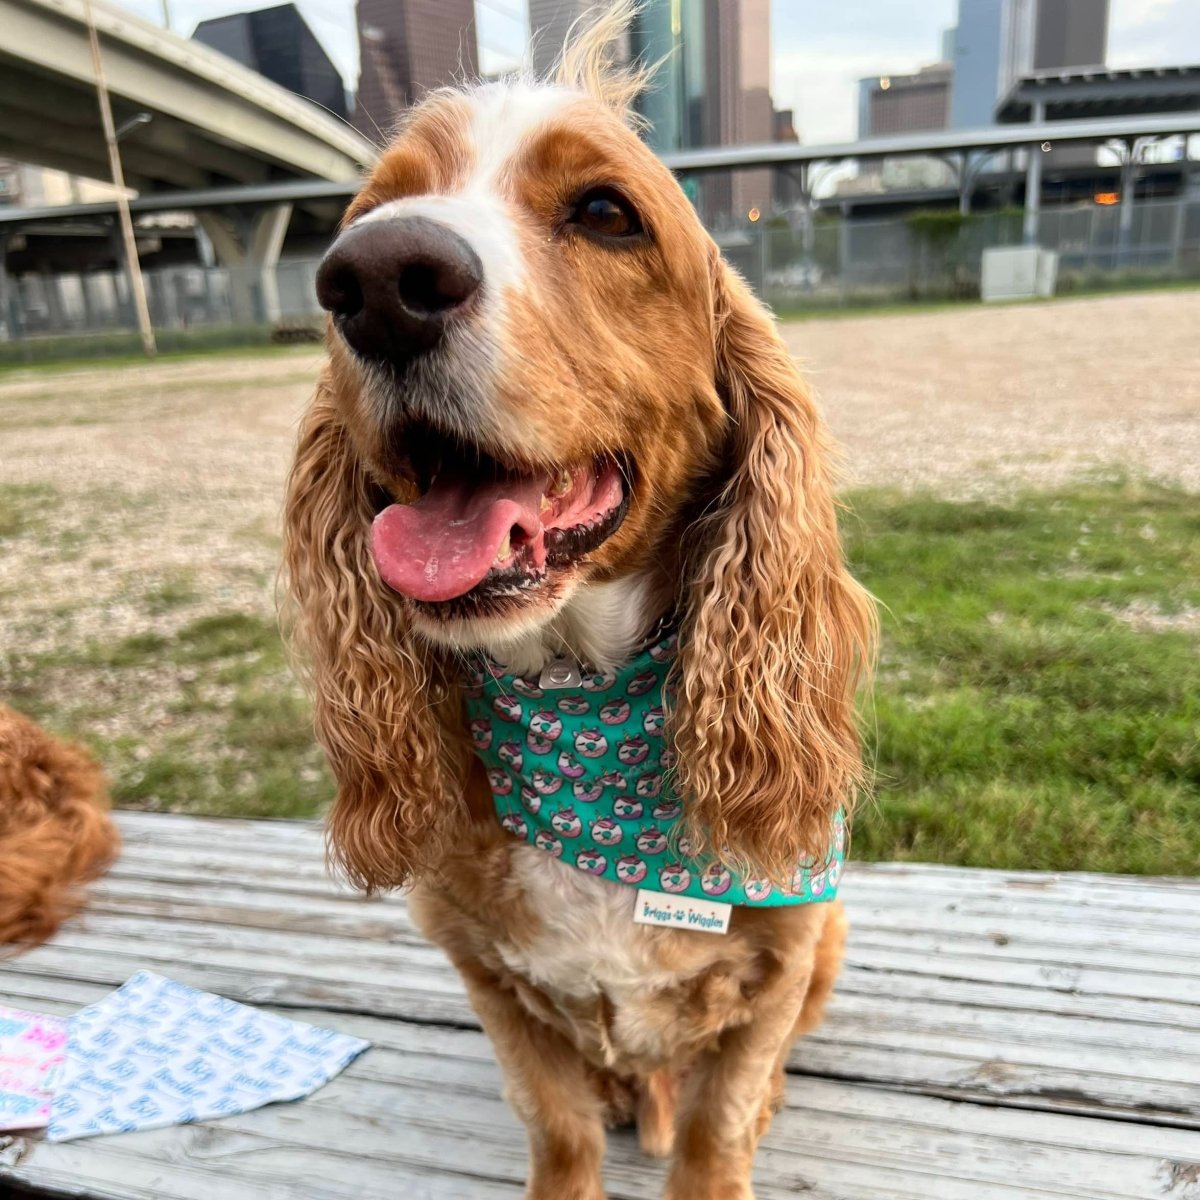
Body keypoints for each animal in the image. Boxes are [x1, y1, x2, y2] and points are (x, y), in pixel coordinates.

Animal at [285, 4, 878, 1195]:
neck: (579, 698)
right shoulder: (484, 978)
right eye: (366, 214)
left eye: (607, 214)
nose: (374, 279)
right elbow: (553, 1120)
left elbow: (718, 1121)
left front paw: (720, 1143)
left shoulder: (785, 959)